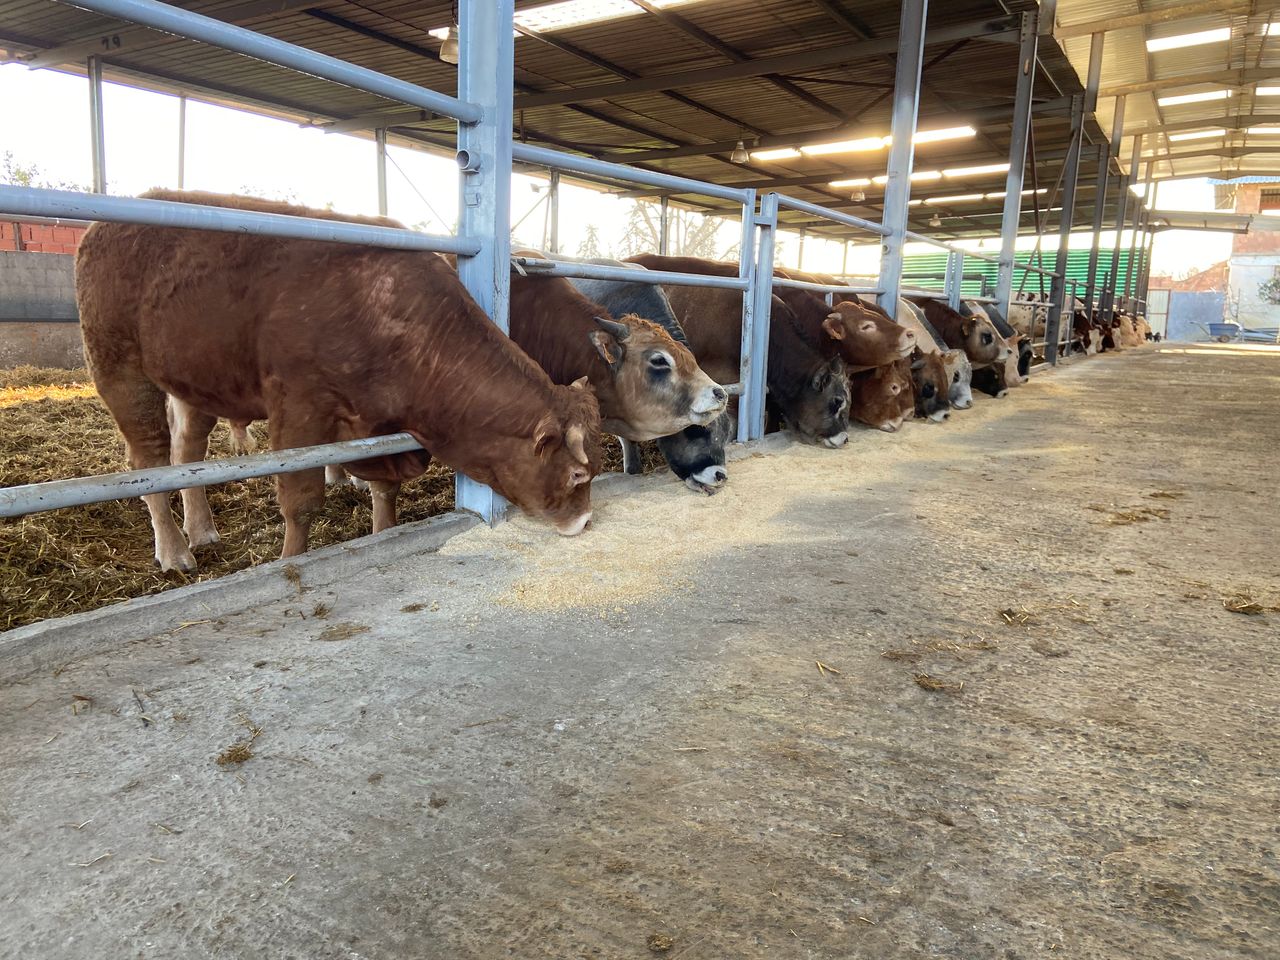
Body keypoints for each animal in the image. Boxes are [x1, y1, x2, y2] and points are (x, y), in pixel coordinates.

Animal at [76, 190, 603, 572]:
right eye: (578, 475)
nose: (585, 521)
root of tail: (109, 220)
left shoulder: (378, 426)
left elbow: (386, 488)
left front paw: (383, 531)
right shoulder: (299, 409)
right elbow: (301, 499)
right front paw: (290, 558)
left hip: (196, 380)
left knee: (187, 454)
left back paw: (201, 529)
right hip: (119, 368)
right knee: (148, 463)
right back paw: (173, 550)